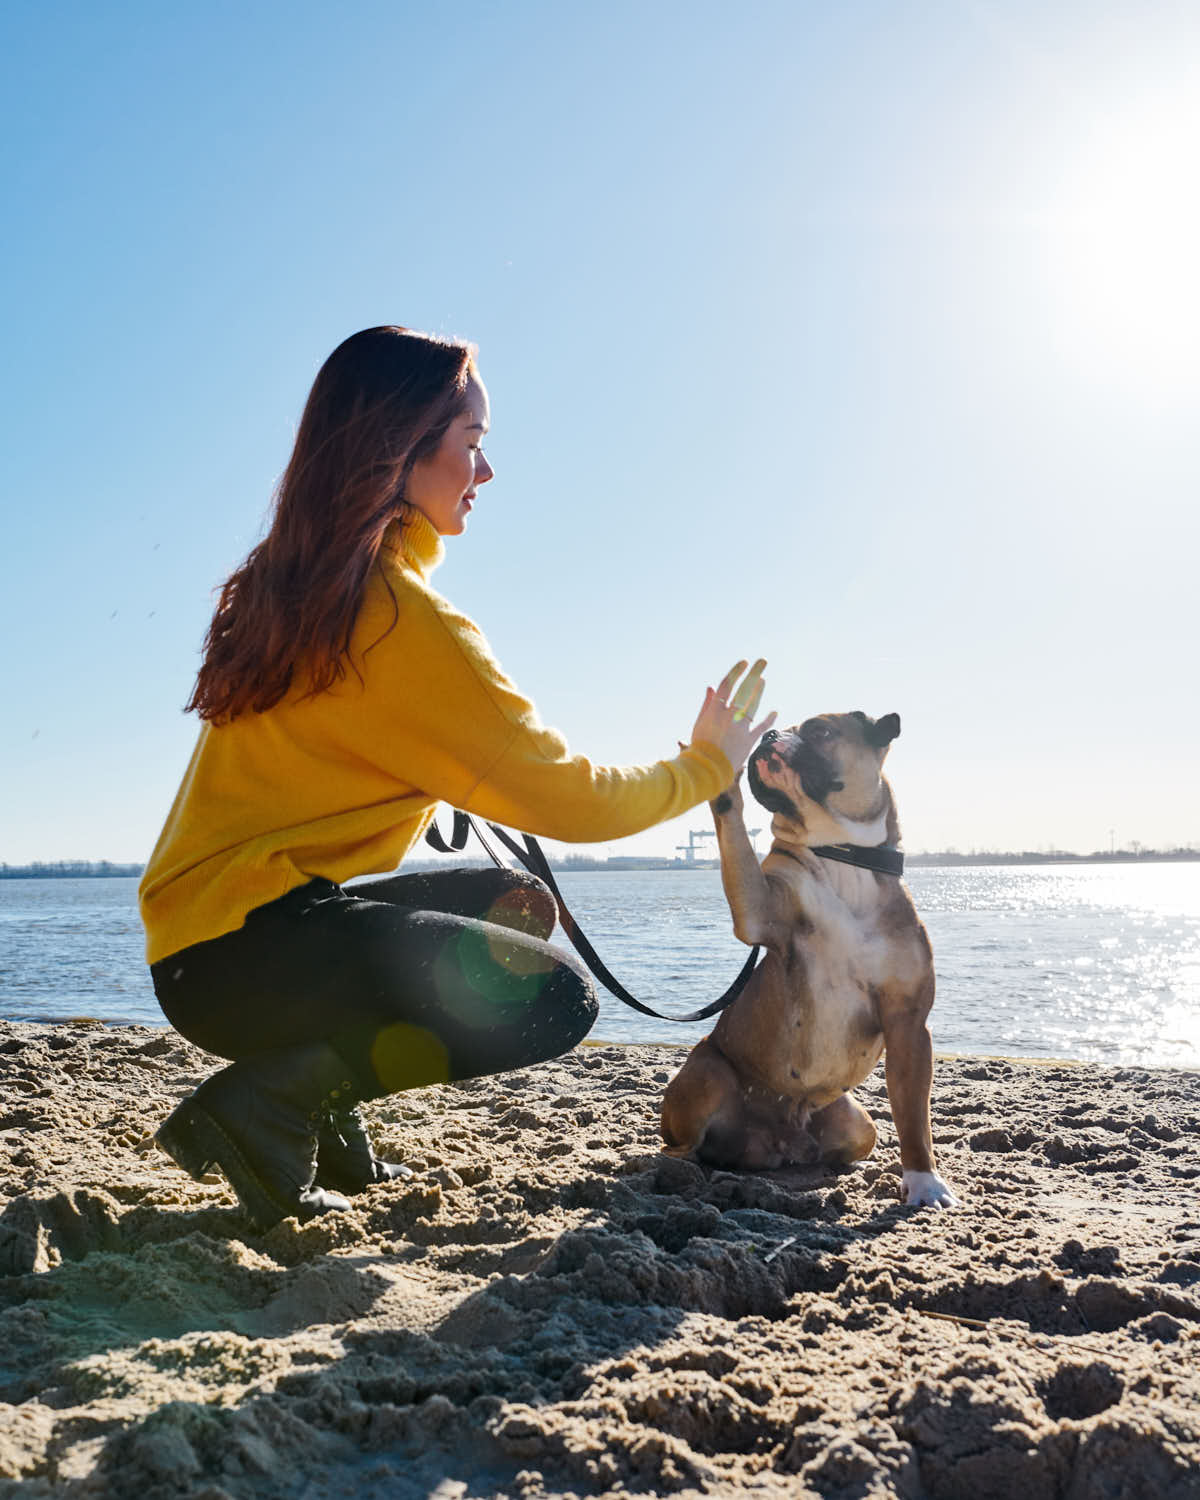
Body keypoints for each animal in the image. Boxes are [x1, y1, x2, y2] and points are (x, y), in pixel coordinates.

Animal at [657, 708, 954, 1212]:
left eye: (820, 730)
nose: (772, 737)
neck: (844, 859)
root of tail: (774, 1143)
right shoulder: (758, 912)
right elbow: (737, 839)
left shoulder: (909, 1024)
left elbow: (915, 1117)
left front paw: (924, 1183)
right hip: (707, 1073)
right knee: (683, 1145)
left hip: (857, 1125)